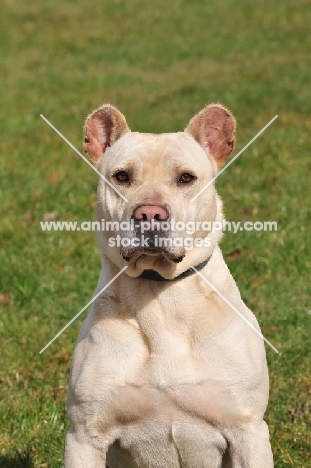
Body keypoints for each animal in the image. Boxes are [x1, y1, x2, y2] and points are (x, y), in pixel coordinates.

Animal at [64, 103, 274, 468]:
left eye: (186, 178)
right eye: (122, 177)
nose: (150, 214)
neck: (160, 293)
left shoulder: (248, 432)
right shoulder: (85, 435)